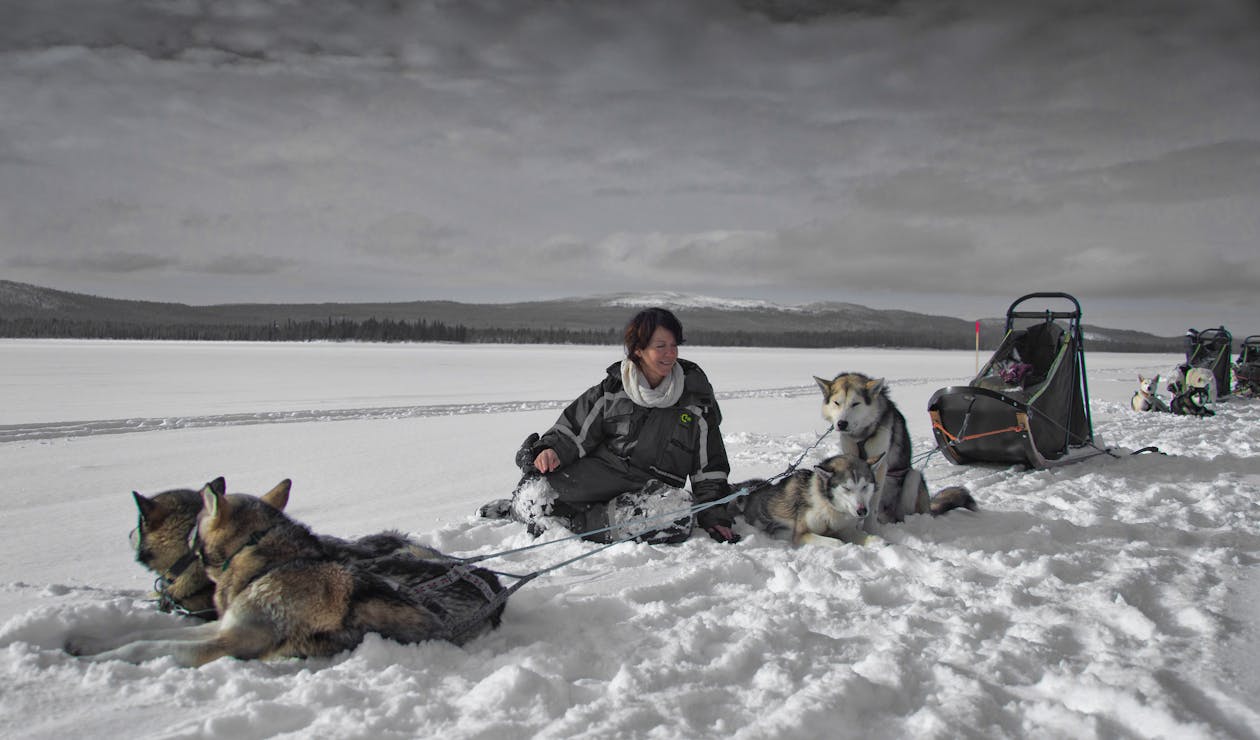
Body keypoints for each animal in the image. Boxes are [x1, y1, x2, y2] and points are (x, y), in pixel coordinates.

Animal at [71, 481, 504, 665]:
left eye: (137, 523)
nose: (127, 534)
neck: (269, 565)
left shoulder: (233, 641)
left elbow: (147, 647)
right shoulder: (224, 624)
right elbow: (145, 634)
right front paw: (86, 641)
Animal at [735, 451, 882, 549]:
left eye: (865, 486)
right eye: (846, 488)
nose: (862, 511)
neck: (827, 506)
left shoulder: (845, 529)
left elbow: (869, 537)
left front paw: (881, 542)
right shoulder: (801, 535)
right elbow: (837, 542)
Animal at [811, 375, 977, 531]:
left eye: (855, 403)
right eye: (836, 403)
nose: (842, 424)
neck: (861, 435)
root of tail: (929, 507)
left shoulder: (880, 466)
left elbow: (872, 502)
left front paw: (869, 529)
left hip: (912, 477)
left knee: (904, 512)